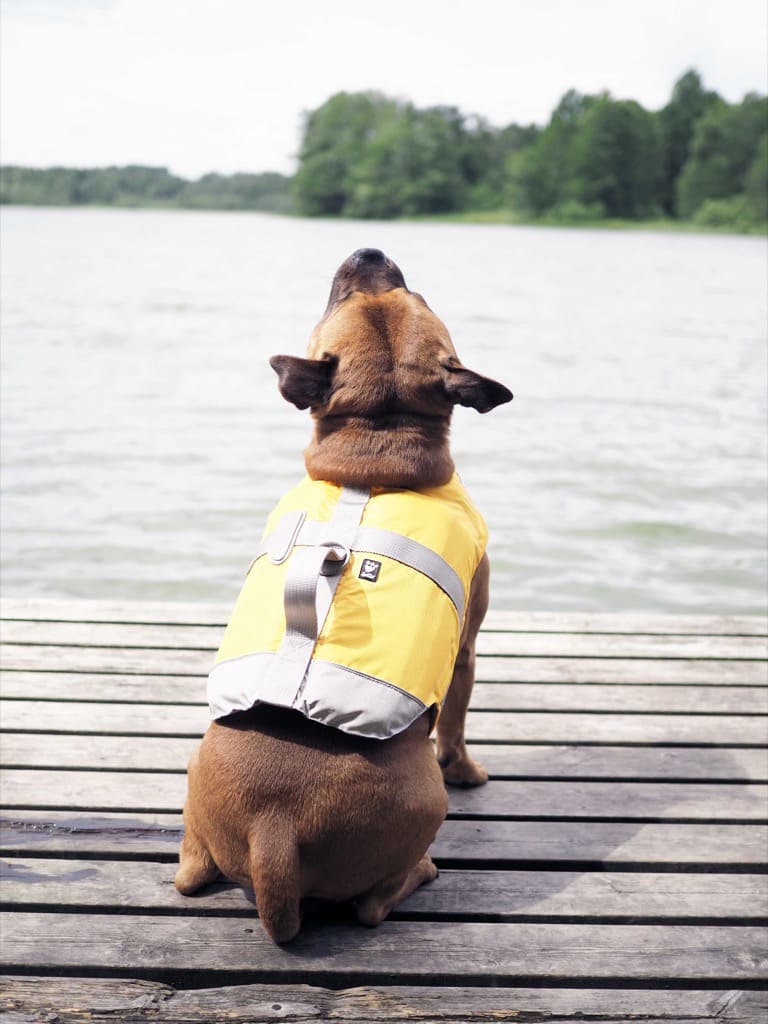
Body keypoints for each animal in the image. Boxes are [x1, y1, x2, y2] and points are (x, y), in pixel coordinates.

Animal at [175, 248, 512, 943]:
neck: (374, 449)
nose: (370, 251)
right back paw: (422, 872)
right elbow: (456, 726)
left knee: (190, 873)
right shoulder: (467, 649)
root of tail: (272, 830)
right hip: (425, 805)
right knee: (373, 905)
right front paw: (469, 771)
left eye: (406, 291)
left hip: (195, 775)